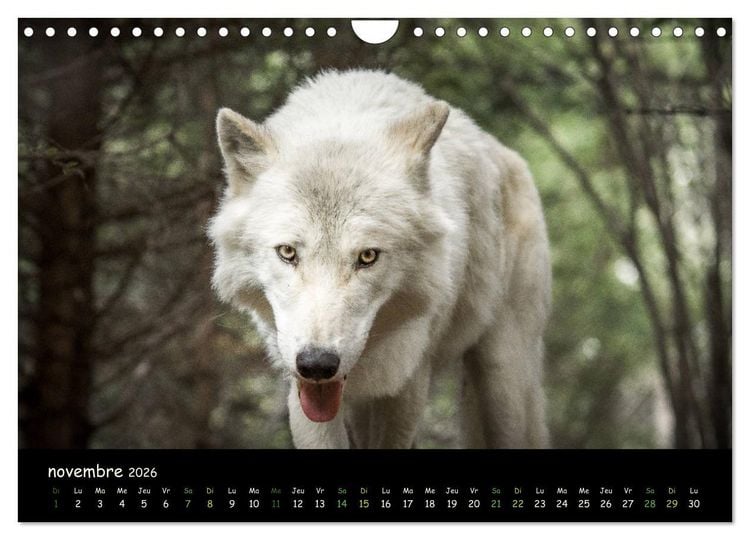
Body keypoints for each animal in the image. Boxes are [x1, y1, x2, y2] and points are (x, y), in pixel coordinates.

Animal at [209, 70, 551, 449]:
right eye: (288, 252)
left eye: (368, 256)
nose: (317, 363)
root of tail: (503, 151)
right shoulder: (302, 384)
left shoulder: (408, 382)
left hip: (503, 382)